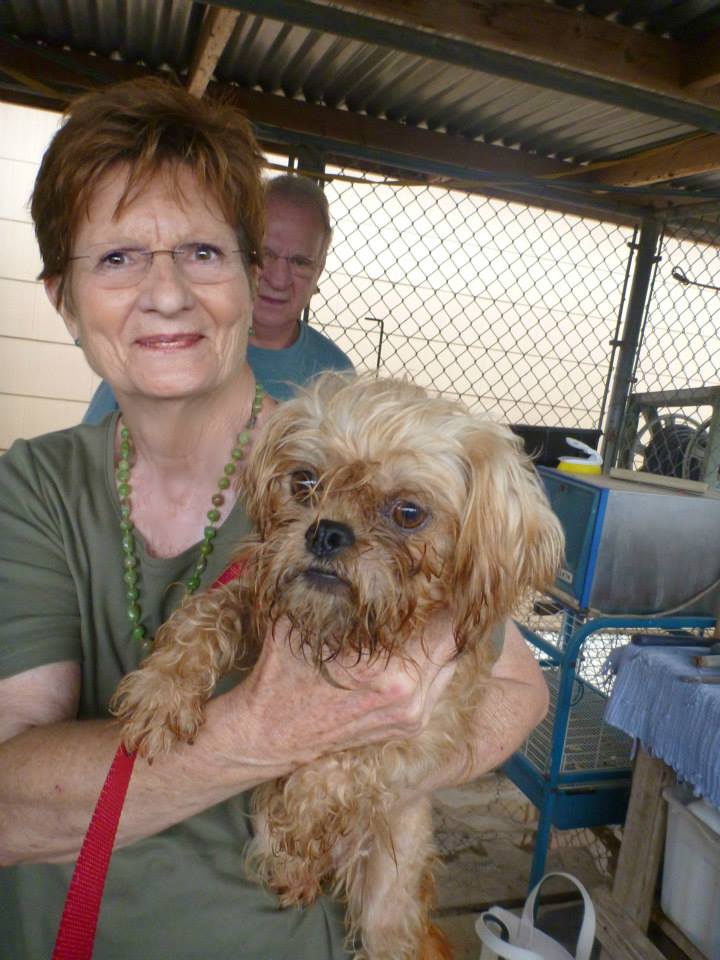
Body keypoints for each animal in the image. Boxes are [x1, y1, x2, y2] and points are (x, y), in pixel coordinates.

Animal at [111, 374, 564, 960]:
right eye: (304, 481)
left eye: (409, 513)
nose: (326, 531)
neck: (349, 635)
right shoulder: (257, 594)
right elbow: (203, 614)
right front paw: (162, 692)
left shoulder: (423, 735)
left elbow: (339, 769)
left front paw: (303, 815)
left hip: (385, 911)